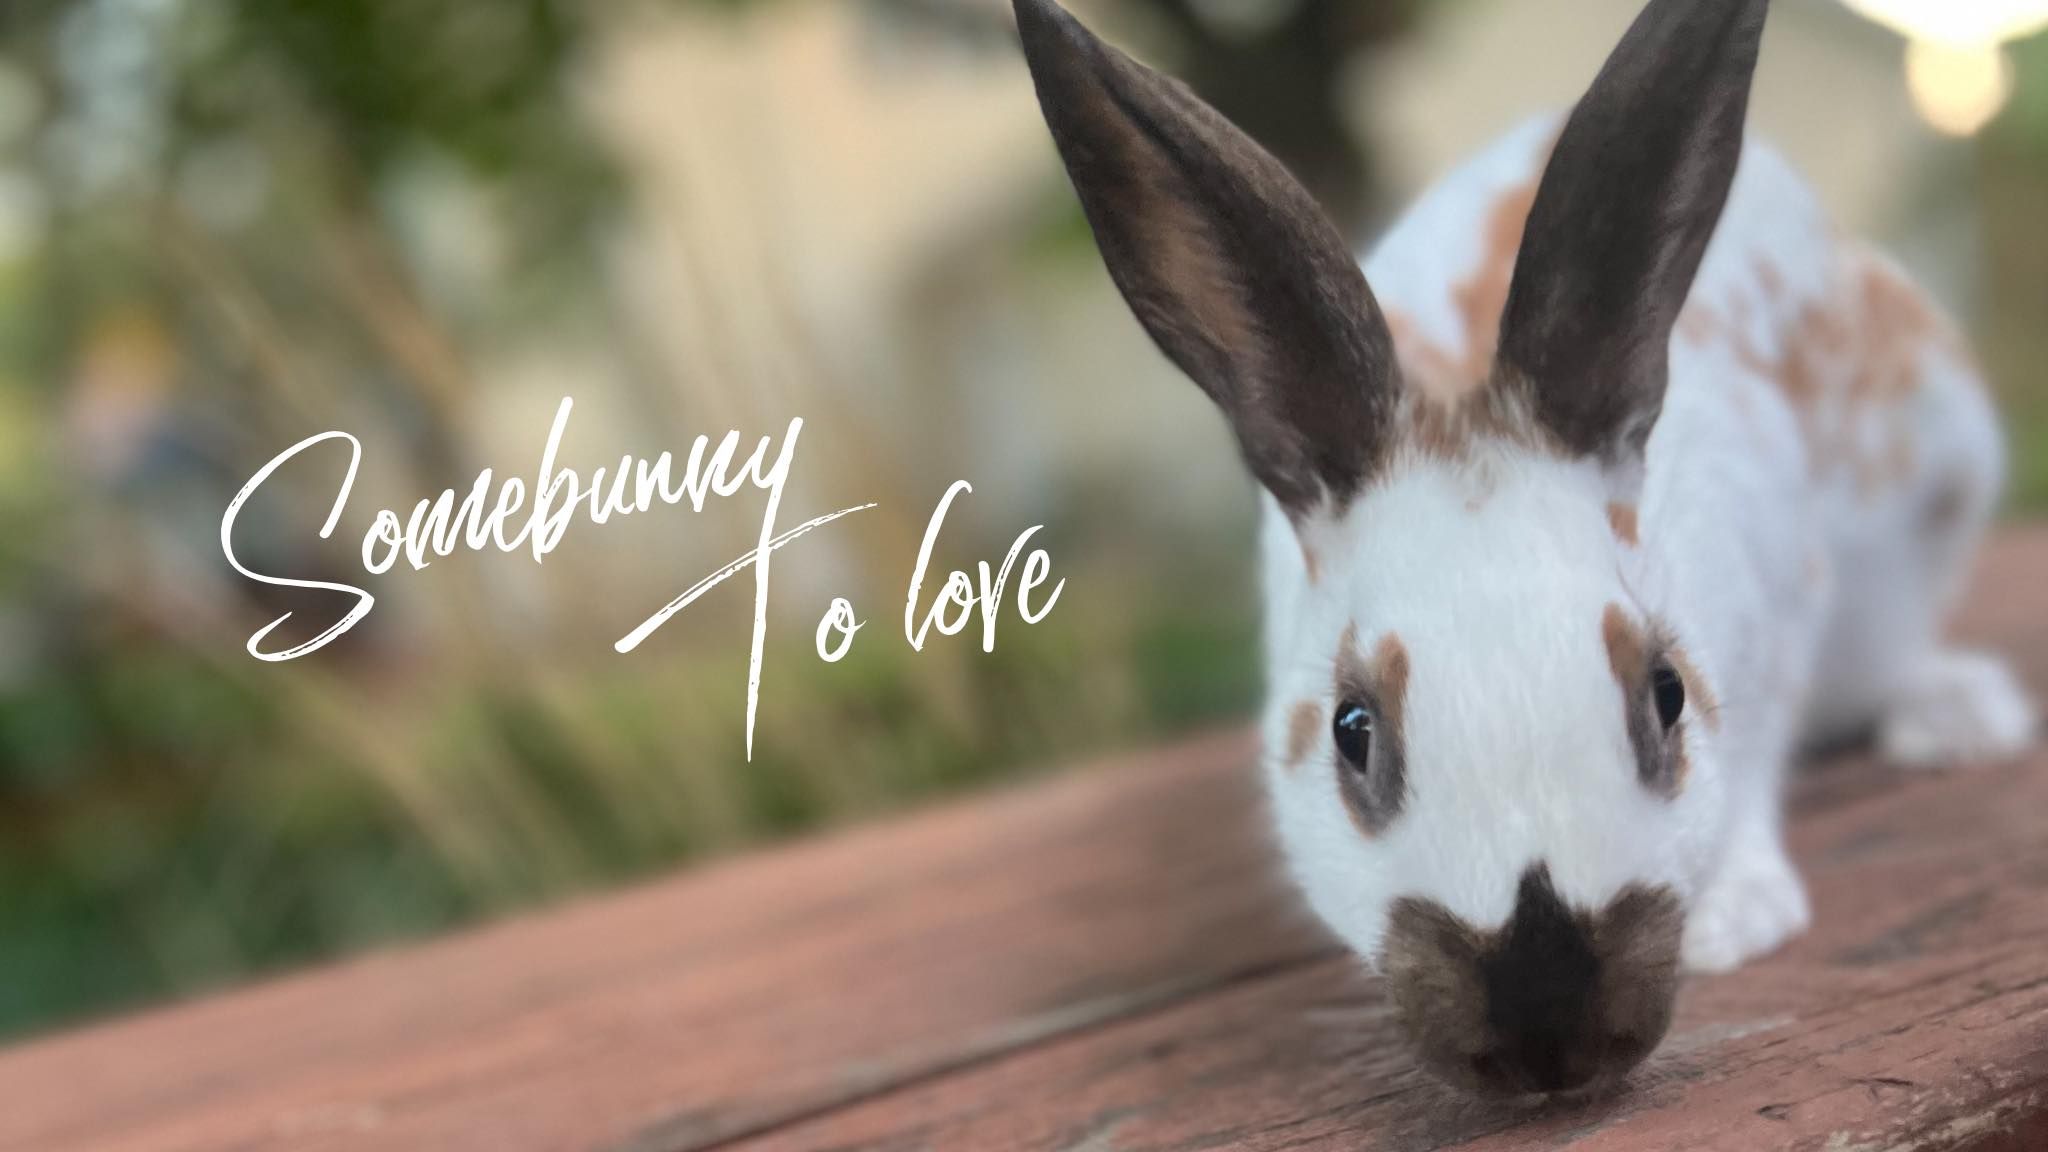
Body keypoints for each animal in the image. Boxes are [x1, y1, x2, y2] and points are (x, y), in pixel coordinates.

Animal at [1012, 0, 2037, 1098]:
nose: (1549, 1031)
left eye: (1666, 695)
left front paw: (1737, 915)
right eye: (1351, 731)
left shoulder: (1782, 605)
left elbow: (1759, 753)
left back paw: (1958, 718)